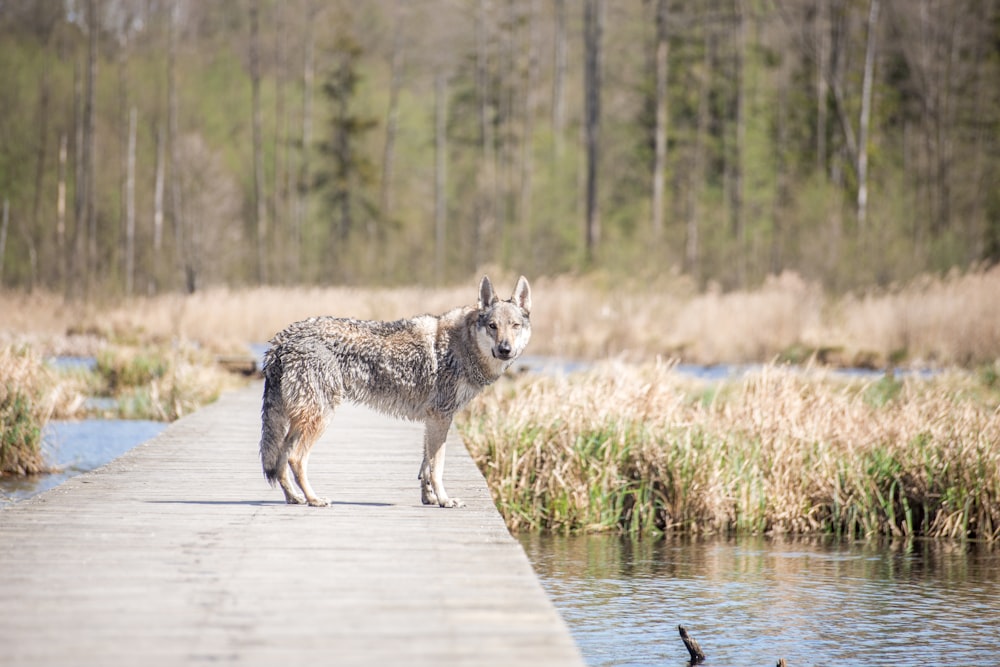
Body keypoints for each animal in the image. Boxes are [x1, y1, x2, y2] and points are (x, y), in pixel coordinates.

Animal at [258, 274, 532, 508]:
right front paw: (445, 501)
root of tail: (283, 338)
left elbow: (426, 467)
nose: (505, 349)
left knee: (281, 458)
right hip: (321, 417)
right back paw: (314, 499)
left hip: (302, 419)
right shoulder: (441, 417)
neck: (464, 346)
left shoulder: (432, 420)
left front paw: (429, 499)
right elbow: (437, 467)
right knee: (295, 459)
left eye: (515, 326)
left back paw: (294, 498)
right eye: (493, 326)